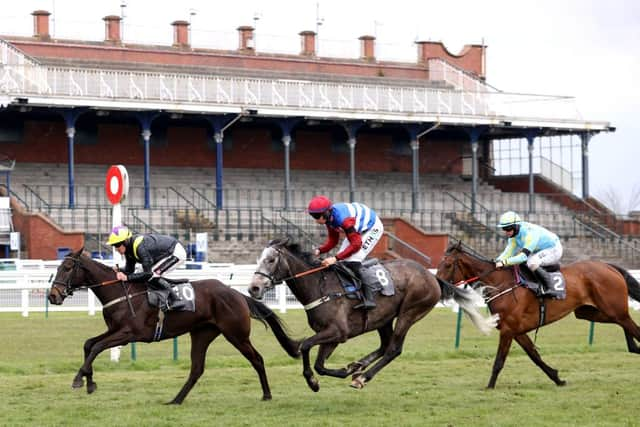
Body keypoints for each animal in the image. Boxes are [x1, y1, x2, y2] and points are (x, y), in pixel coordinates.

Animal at [48, 247, 302, 404]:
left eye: (68, 268)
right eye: (58, 268)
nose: (53, 296)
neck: (121, 291)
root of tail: (237, 294)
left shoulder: (129, 333)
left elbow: (97, 347)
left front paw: (79, 380)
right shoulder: (115, 330)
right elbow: (89, 344)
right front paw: (90, 382)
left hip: (236, 334)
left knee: (257, 359)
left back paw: (267, 395)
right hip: (202, 333)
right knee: (197, 368)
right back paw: (176, 400)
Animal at [245, 239, 496, 392]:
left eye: (271, 260)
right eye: (259, 259)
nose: (253, 288)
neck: (320, 285)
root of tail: (431, 276)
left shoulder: (337, 332)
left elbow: (306, 346)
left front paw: (314, 381)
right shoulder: (332, 336)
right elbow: (319, 364)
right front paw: (345, 369)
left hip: (409, 312)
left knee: (394, 349)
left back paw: (362, 377)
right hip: (383, 319)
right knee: (385, 346)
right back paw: (359, 367)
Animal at [438, 242, 640, 390]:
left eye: (448, 265)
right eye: (439, 264)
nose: (438, 285)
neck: (501, 284)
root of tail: (609, 266)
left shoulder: (508, 330)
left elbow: (499, 361)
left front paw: (489, 386)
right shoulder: (516, 330)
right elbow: (534, 355)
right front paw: (557, 378)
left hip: (611, 308)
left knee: (630, 324)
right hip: (589, 312)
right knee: (623, 323)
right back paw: (633, 346)